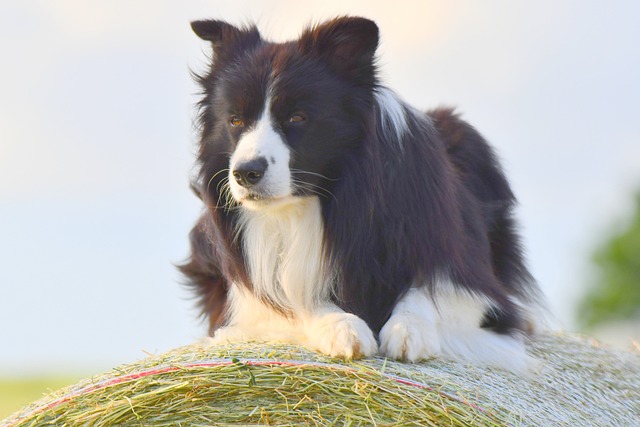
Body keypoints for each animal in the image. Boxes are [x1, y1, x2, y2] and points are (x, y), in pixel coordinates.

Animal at [181, 15, 544, 372]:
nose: (245, 173)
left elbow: (432, 289)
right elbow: (293, 297)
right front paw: (342, 328)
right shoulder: (238, 301)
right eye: (235, 120)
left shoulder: (471, 277)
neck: (314, 203)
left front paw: (409, 329)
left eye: (297, 117)